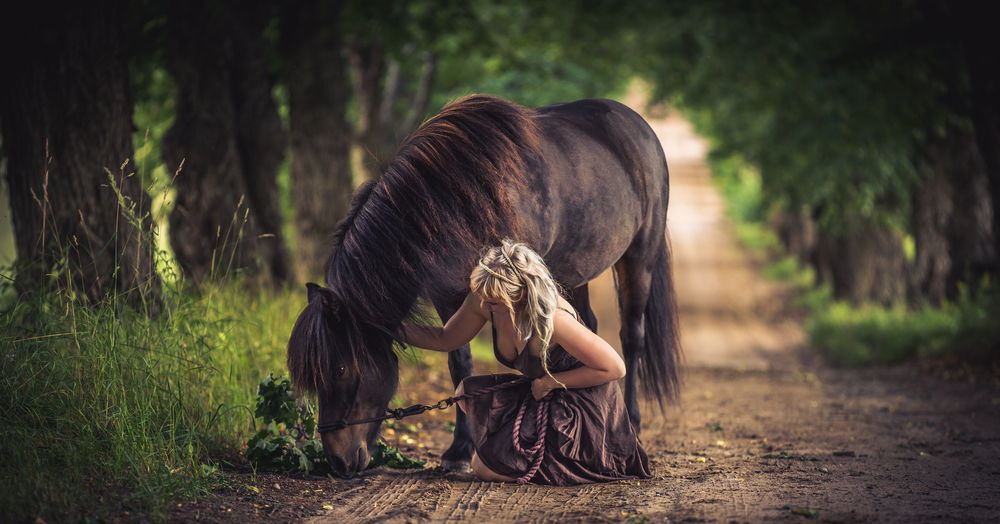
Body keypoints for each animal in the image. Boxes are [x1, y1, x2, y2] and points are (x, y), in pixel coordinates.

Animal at [287, 94, 681, 478]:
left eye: (340, 369)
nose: (337, 462)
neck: (456, 199)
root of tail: (638, 125)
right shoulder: (449, 295)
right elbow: (459, 362)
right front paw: (459, 451)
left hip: (639, 258)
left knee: (631, 337)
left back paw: (631, 422)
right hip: (574, 272)